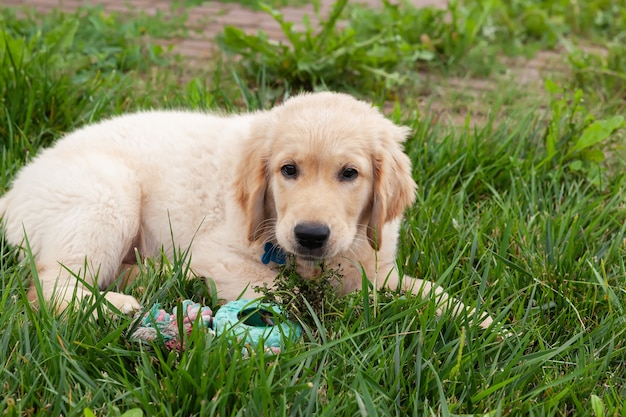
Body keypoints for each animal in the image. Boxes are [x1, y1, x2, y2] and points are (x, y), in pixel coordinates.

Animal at [0, 92, 492, 328]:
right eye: (288, 170)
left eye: (350, 173)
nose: (311, 234)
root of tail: (12, 191)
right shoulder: (214, 252)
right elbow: (289, 294)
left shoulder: (373, 264)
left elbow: (426, 290)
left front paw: (484, 322)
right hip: (107, 196)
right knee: (48, 287)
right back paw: (120, 307)